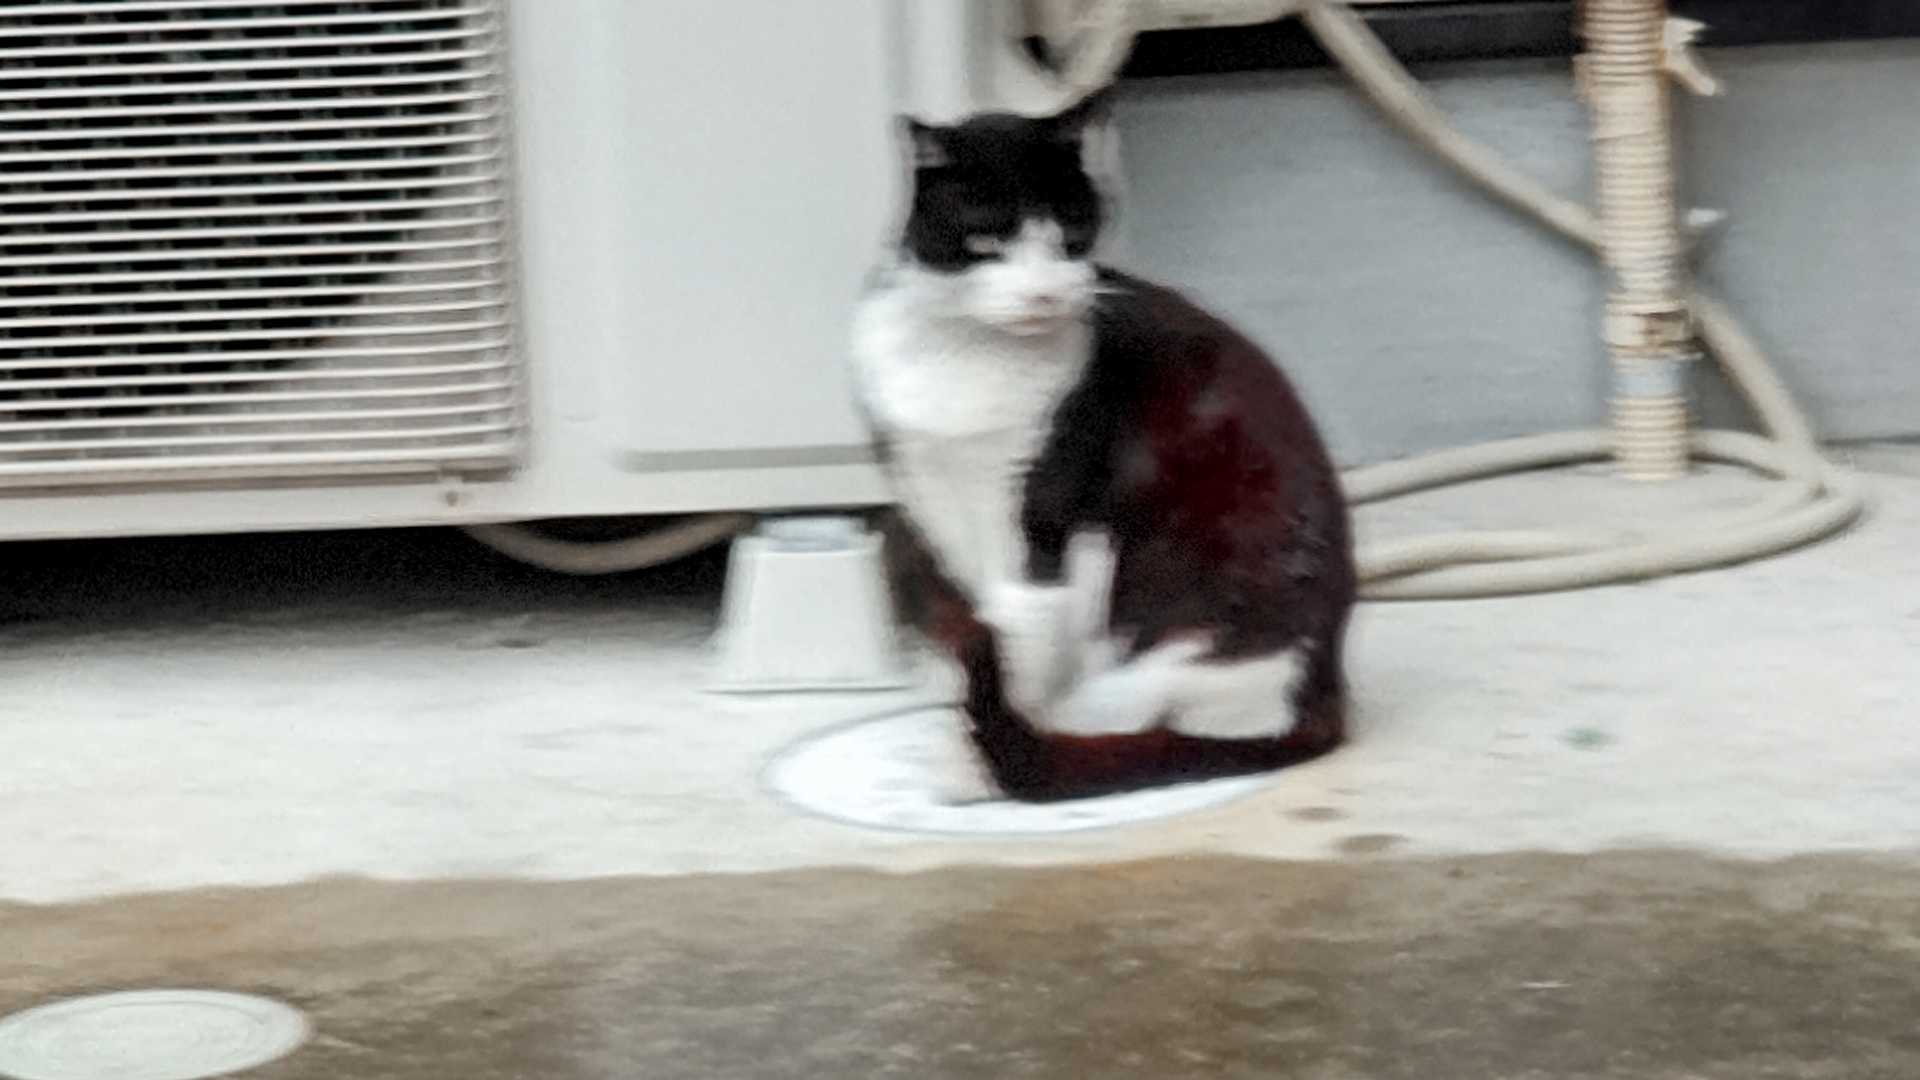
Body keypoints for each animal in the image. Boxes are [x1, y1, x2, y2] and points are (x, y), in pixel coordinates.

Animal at [851, 92, 1355, 803]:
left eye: (1070, 231)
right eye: (988, 238)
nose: (1043, 292)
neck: (965, 350)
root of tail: (1325, 695)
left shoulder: (1044, 511)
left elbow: (1017, 632)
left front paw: (985, 761)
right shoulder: (931, 495)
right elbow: (977, 621)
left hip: (1176, 638)